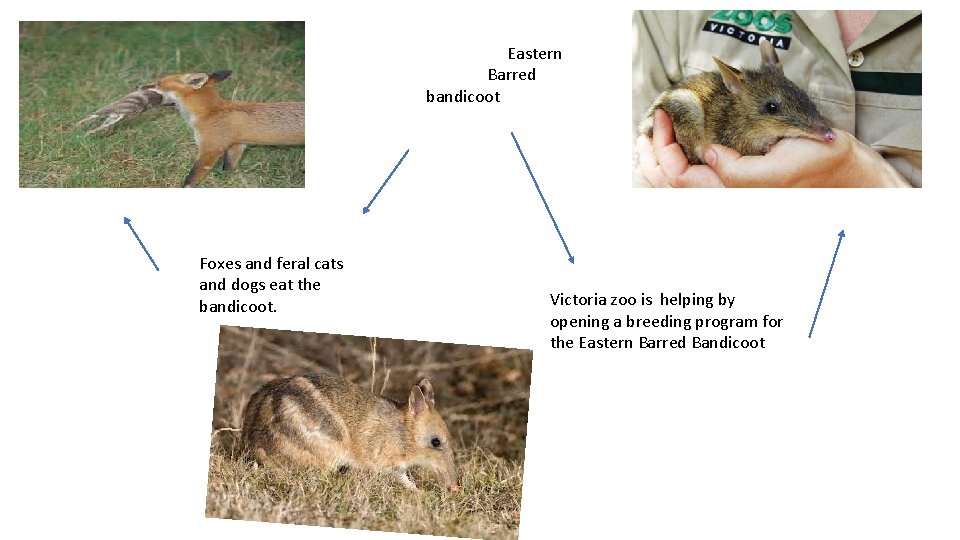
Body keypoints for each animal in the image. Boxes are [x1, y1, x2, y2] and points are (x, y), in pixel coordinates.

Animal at [140, 70, 304, 187]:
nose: (138, 86)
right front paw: (225, 181)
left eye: (159, 83)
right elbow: (227, 168)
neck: (210, 112)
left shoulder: (210, 150)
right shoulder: (236, 145)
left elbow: (191, 178)